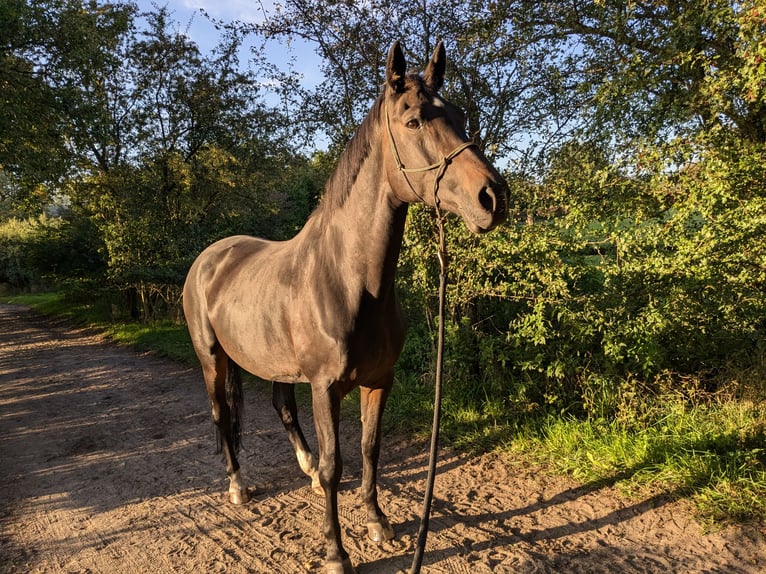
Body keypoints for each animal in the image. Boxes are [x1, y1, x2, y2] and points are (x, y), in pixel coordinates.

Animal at [184, 41, 510, 574]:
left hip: (276, 362)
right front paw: (336, 552)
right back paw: (238, 486)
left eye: (460, 116)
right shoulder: (326, 388)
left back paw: (305, 469)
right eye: (413, 121)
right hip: (213, 359)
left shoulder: (379, 381)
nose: (493, 197)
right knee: (221, 414)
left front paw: (377, 522)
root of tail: (209, 258)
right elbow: (338, 464)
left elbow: (370, 449)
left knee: (281, 407)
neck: (348, 282)